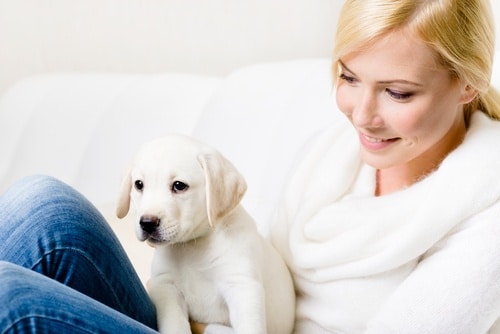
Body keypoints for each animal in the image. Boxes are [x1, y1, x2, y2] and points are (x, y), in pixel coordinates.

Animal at [115, 134, 294, 334]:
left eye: (179, 185)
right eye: (139, 185)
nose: (147, 223)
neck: (193, 247)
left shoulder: (243, 287)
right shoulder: (166, 287)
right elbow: (175, 325)